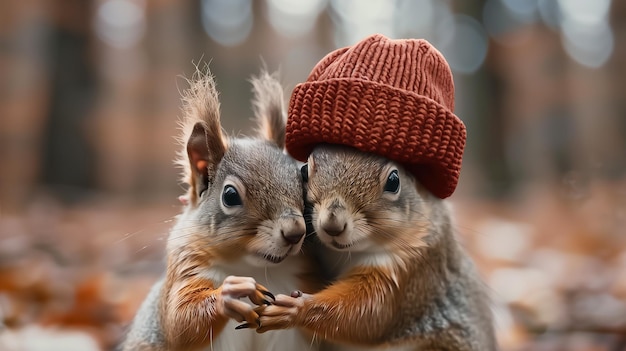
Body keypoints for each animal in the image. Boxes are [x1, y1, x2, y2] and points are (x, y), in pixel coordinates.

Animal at [120, 69, 320, 351]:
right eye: (230, 195)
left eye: (303, 178)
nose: (294, 232)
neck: (254, 267)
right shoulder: (188, 270)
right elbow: (180, 321)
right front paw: (231, 293)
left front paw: (293, 309)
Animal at [251, 35, 494, 351]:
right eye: (304, 171)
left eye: (394, 181)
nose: (332, 224)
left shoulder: (412, 270)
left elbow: (368, 314)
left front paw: (297, 309)